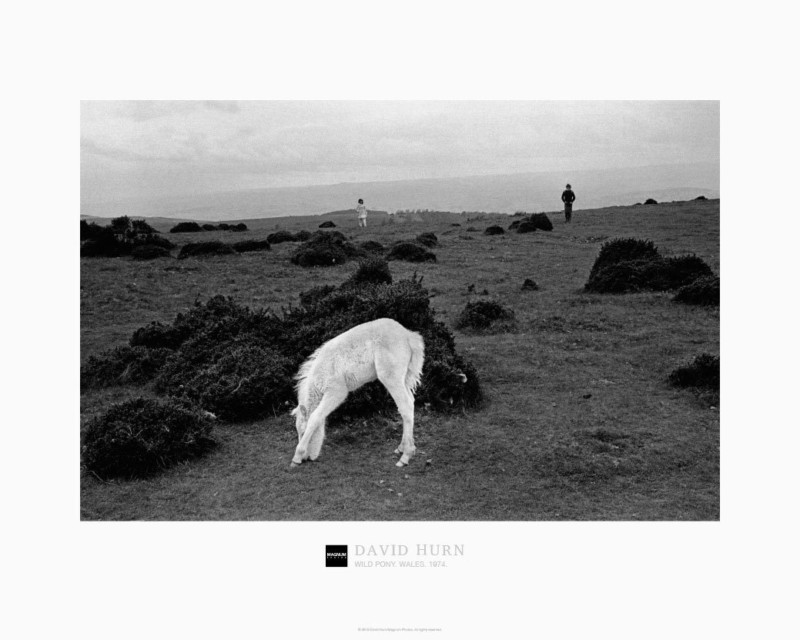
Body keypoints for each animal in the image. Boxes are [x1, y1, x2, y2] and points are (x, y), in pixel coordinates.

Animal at [290, 318, 425, 468]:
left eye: (303, 432)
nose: (306, 458)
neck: (322, 372)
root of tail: (409, 336)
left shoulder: (337, 391)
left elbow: (315, 417)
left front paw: (296, 457)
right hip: (403, 378)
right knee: (410, 403)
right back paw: (403, 448)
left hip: (391, 377)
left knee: (405, 407)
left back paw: (405, 456)